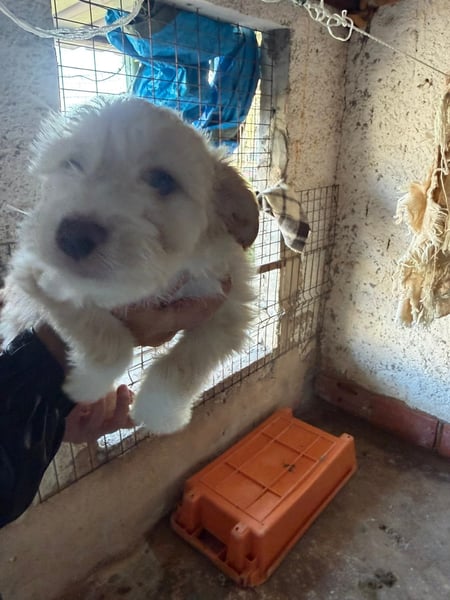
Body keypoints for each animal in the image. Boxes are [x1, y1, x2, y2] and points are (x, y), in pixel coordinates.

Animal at [0, 97, 258, 434]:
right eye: (71, 164)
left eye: (162, 180)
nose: (72, 236)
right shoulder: (35, 274)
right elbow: (111, 340)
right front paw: (86, 385)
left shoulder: (226, 307)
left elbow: (184, 364)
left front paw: (159, 414)